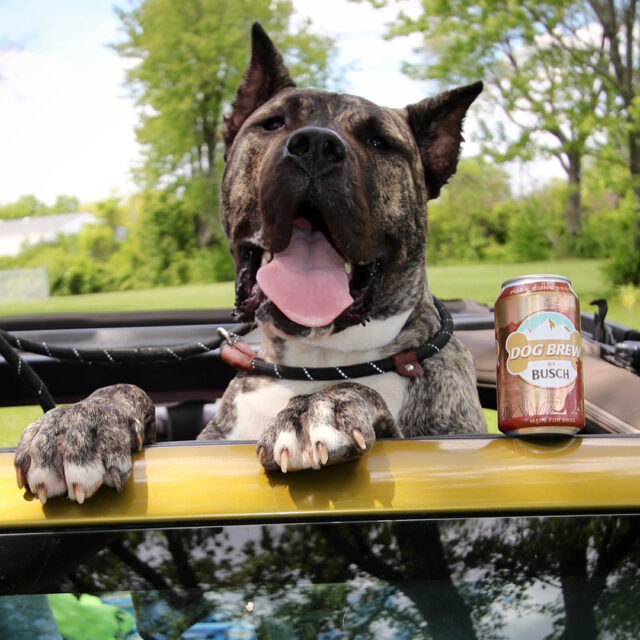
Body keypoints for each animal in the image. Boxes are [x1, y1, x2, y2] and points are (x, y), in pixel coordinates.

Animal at [13, 23, 484, 504]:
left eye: (379, 142)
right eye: (272, 123)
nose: (317, 145)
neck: (317, 360)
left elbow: (359, 393)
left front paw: (320, 407)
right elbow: (125, 387)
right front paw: (79, 420)